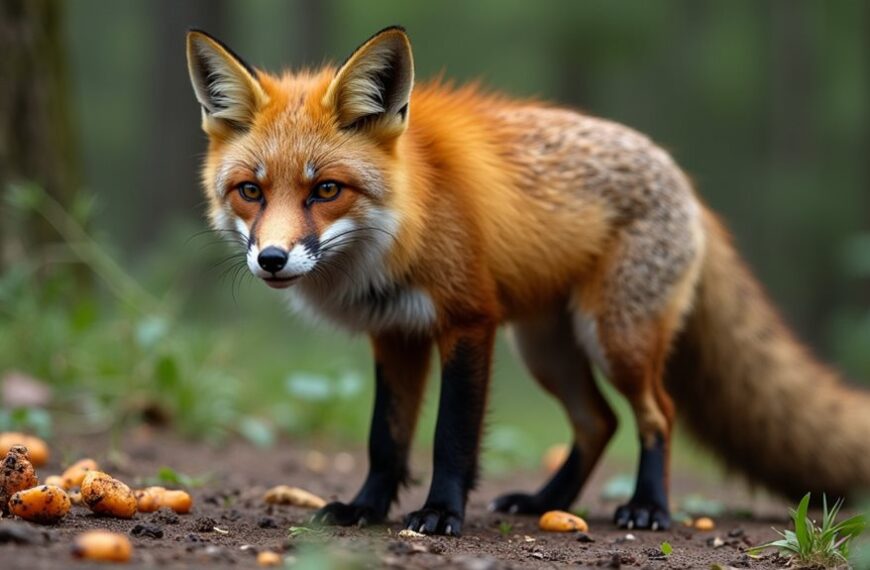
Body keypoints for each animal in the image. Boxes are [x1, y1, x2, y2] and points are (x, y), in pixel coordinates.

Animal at [185, 26, 870, 536]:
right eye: (251, 191)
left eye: (326, 190)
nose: (272, 259)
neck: (406, 219)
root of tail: (686, 181)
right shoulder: (395, 334)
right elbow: (387, 437)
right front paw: (364, 509)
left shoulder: (469, 320)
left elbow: (451, 436)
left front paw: (441, 513)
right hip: (547, 350)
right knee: (599, 422)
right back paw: (545, 502)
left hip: (615, 338)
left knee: (657, 414)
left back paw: (648, 507)